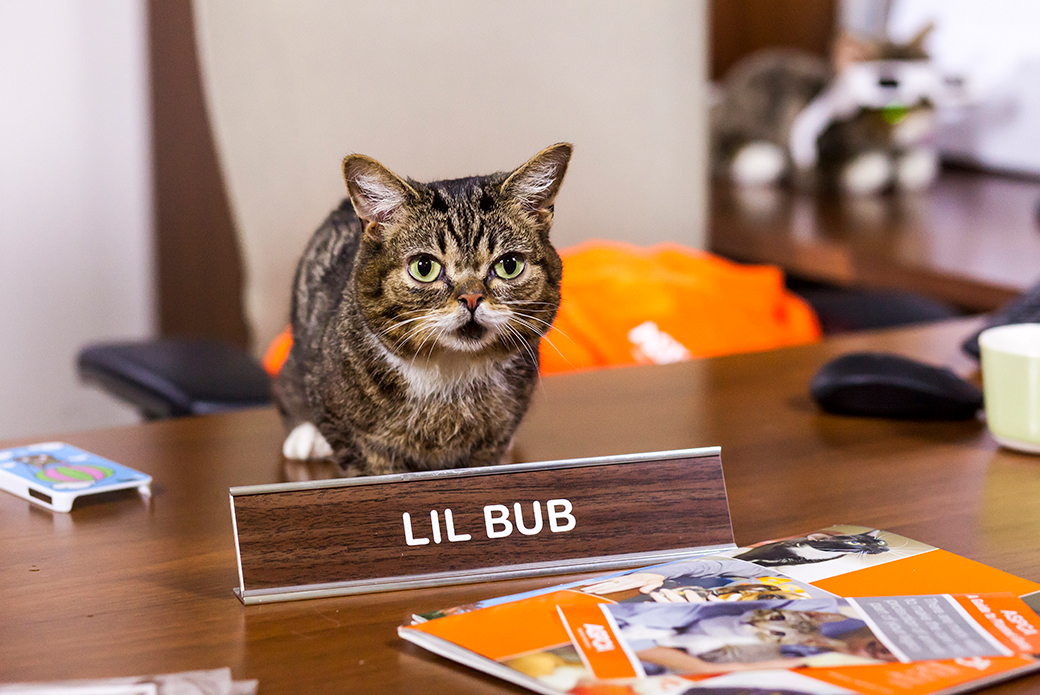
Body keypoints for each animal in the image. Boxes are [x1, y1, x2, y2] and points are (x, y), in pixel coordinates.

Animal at [272, 141, 574, 478]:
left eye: (509, 265)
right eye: (424, 267)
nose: (471, 297)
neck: (449, 376)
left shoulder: (492, 437)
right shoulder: (347, 432)